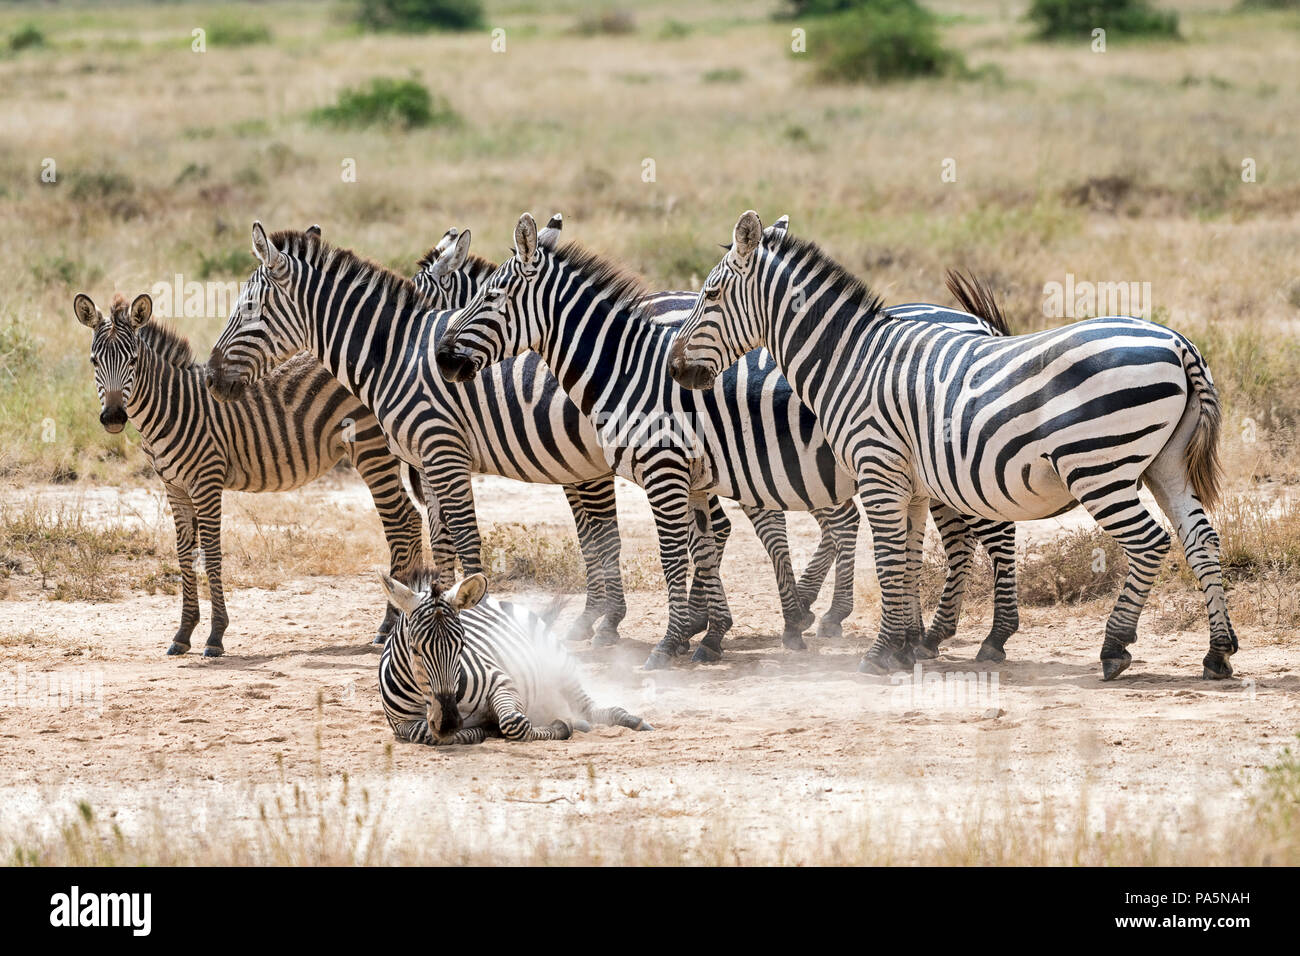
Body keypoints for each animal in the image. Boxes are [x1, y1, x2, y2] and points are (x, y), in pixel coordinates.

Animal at [71, 287, 423, 655]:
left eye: (133, 360)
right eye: (94, 361)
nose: (113, 418)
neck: (172, 407)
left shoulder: (206, 481)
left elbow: (211, 555)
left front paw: (215, 635)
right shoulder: (175, 487)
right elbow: (184, 555)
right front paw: (183, 633)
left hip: (371, 449)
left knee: (399, 525)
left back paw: (387, 625)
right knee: (412, 518)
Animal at [379, 567, 655, 749]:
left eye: (462, 646)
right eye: (415, 649)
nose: (448, 722)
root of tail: (489, 599)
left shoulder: (501, 681)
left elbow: (515, 722)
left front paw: (559, 727)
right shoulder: (401, 723)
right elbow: (427, 735)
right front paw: (481, 730)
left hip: (555, 658)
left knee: (587, 706)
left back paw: (627, 720)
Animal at [436, 214, 1024, 671]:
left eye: (489, 297)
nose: (440, 358)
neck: (627, 369)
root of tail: (978, 325)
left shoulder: (663, 469)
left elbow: (671, 555)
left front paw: (668, 642)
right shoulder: (694, 477)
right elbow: (703, 546)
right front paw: (711, 636)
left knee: (989, 534)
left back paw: (987, 637)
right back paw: (918, 635)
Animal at [670, 213, 1227, 686]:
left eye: (711, 294)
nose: (675, 369)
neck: (850, 362)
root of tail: (1178, 343)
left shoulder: (877, 469)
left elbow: (890, 560)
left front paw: (879, 654)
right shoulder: (912, 485)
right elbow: (909, 561)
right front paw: (903, 646)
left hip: (1099, 466)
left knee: (1150, 542)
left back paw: (1114, 648)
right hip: (1165, 465)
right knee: (1201, 538)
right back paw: (1218, 652)